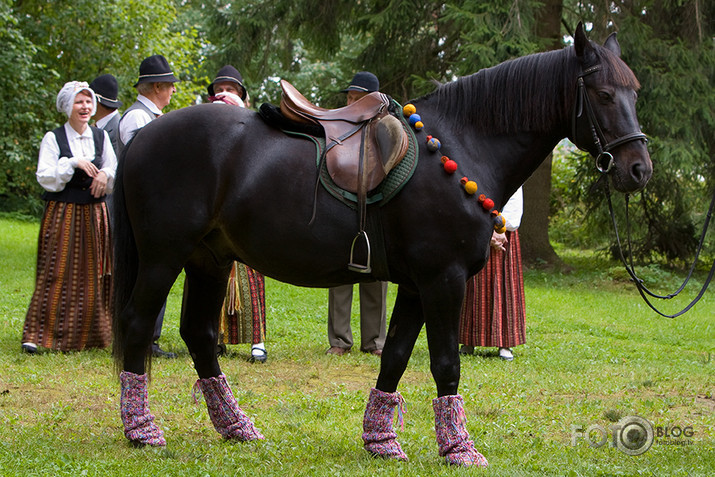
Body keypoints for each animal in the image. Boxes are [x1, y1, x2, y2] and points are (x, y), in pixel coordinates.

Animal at [110, 22, 648, 464]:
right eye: (603, 93)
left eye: (634, 94)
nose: (639, 169)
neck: (459, 147)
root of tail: (143, 137)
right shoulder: (444, 280)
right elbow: (446, 363)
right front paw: (459, 449)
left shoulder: (416, 285)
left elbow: (395, 356)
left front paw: (381, 440)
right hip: (164, 258)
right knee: (138, 324)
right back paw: (142, 430)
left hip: (210, 259)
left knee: (199, 333)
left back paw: (236, 427)